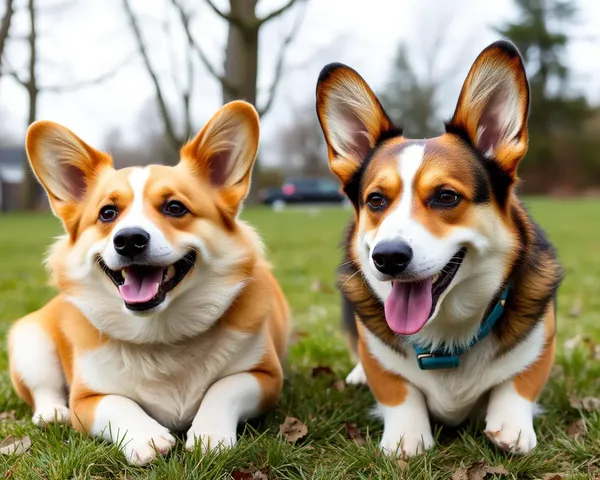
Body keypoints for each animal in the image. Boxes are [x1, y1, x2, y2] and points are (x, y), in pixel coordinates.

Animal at [8, 101, 290, 464]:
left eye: (175, 207)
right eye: (107, 213)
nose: (129, 240)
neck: (159, 335)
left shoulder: (265, 378)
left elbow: (223, 387)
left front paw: (209, 434)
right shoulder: (85, 401)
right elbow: (117, 403)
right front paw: (148, 438)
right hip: (30, 343)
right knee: (43, 388)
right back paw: (51, 414)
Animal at [316, 39, 560, 456]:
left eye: (446, 196)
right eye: (376, 200)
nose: (388, 258)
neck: (446, 334)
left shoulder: (542, 335)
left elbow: (519, 380)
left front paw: (511, 428)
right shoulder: (380, 356)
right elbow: (396, 387)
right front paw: (406, 437)